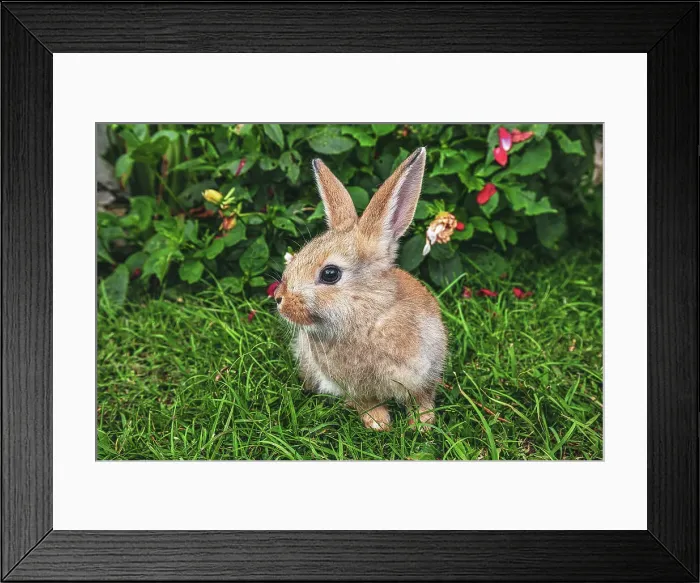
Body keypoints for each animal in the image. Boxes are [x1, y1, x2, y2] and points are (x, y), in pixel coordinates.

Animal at [274, 147, 447, 431]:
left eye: (330, 274)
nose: (279, 298)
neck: (368, 315)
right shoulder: (353, 387)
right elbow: (367, 402)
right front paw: (379, 423)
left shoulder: (425, 372)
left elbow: (422, 397)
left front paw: (421, 424)